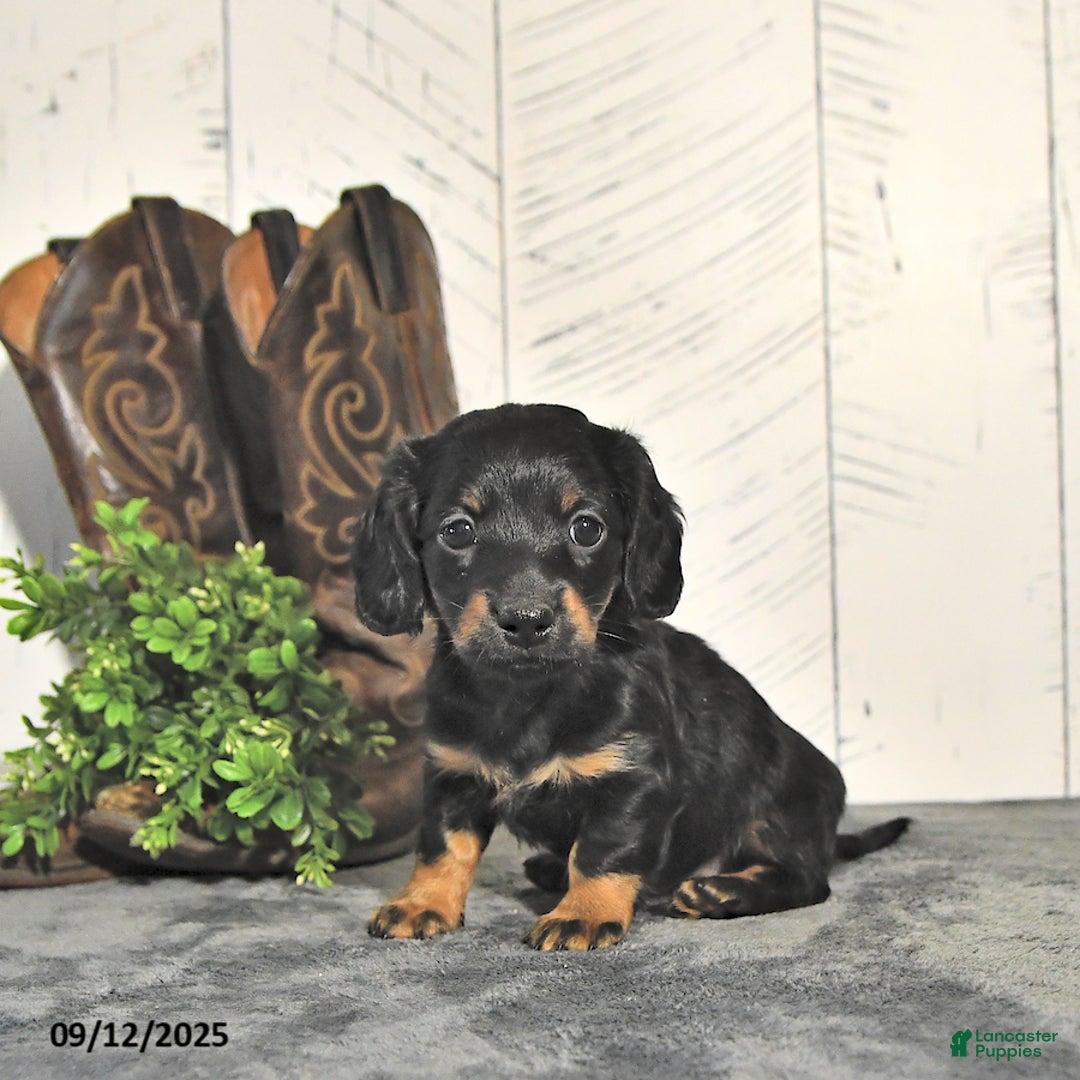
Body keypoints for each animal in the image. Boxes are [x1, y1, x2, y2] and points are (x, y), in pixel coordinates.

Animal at [352, 403, 909, 950]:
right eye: (457, 530)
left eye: (586, 528)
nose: (526, 620)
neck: (529, 694)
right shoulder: (453, 772)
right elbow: (443, 847)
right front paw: (423, 903)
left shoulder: (630, 779)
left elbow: (601, 851)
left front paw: (583, 913)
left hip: (778, 810)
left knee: (806, 878)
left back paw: (723, 891)